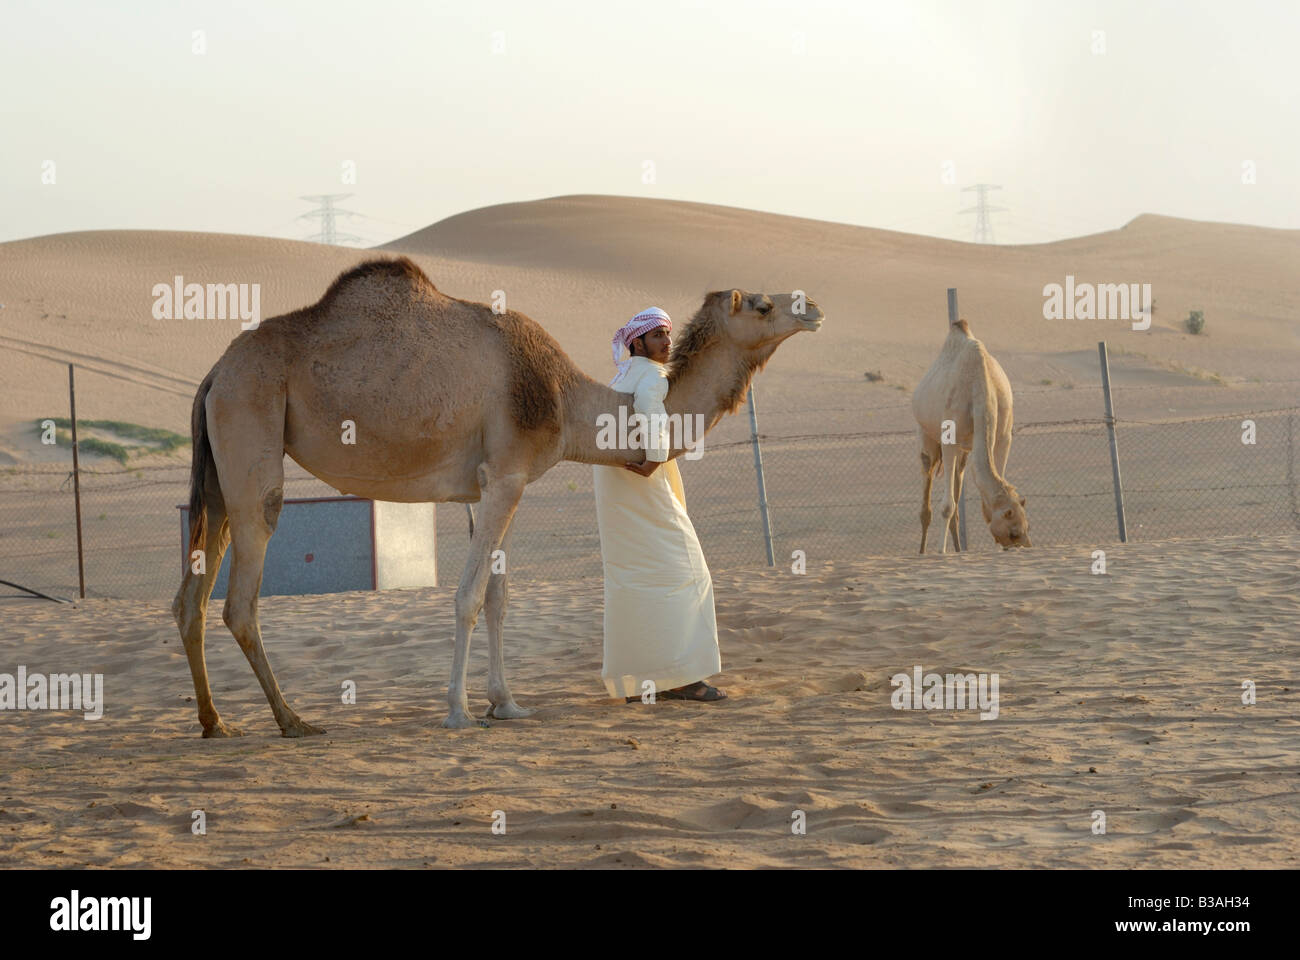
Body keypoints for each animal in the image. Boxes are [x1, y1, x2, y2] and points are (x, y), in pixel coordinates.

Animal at [172, 256, 821, 733]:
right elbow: (467, 596)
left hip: (220, 473)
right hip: (251, 424)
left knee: (190, 599)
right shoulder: (507, 476)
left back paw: (214, 722)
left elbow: (496, 598)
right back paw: (291, 720)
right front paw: (459, 711)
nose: (812, 305)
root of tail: (215, 373)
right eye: (762, 304)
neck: (566, 399)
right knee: (241, 595)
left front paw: (505, 703)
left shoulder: (485, 485)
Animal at [909, 316, 1029, 554]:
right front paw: (941, 551)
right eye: (1013, 532)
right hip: (927, 436)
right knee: (927, 482)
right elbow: (947, 506)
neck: (980, 389)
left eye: (1027, 526)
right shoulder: (949, 439)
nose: (1025, 547)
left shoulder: (1003, 437)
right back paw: (923, 551)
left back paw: (959, 549)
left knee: (959, 479)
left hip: (964, 451)